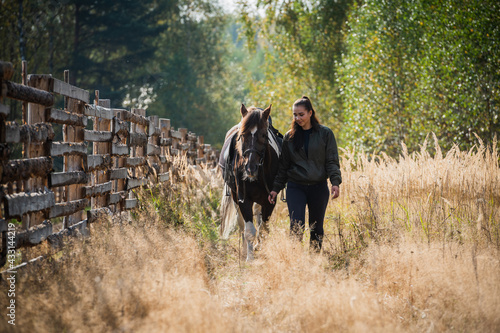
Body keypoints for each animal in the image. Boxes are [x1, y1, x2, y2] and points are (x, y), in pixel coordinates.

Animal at [219, 104, 282, 260]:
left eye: (264, 135)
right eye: (242, 135)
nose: (250, 168)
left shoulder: (270, 199)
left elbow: (263, 227)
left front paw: (260, 246)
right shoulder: (244, 198)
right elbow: (249, 230)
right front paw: (249, 258)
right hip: (235, 197)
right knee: (242, 224)